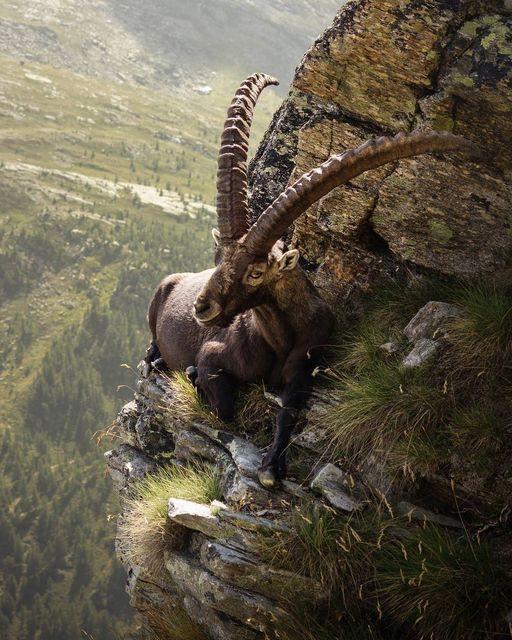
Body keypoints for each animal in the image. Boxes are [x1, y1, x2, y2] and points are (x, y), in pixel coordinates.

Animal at [146, 73, 474, 488]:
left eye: (256, 271)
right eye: (218, 258)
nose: (201, 307)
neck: (279, 338)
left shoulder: (306, 365)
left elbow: (289, 409)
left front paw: (271, 468)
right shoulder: (213, 355)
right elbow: (223, 407)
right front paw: (191, 376)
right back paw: (156, 359)